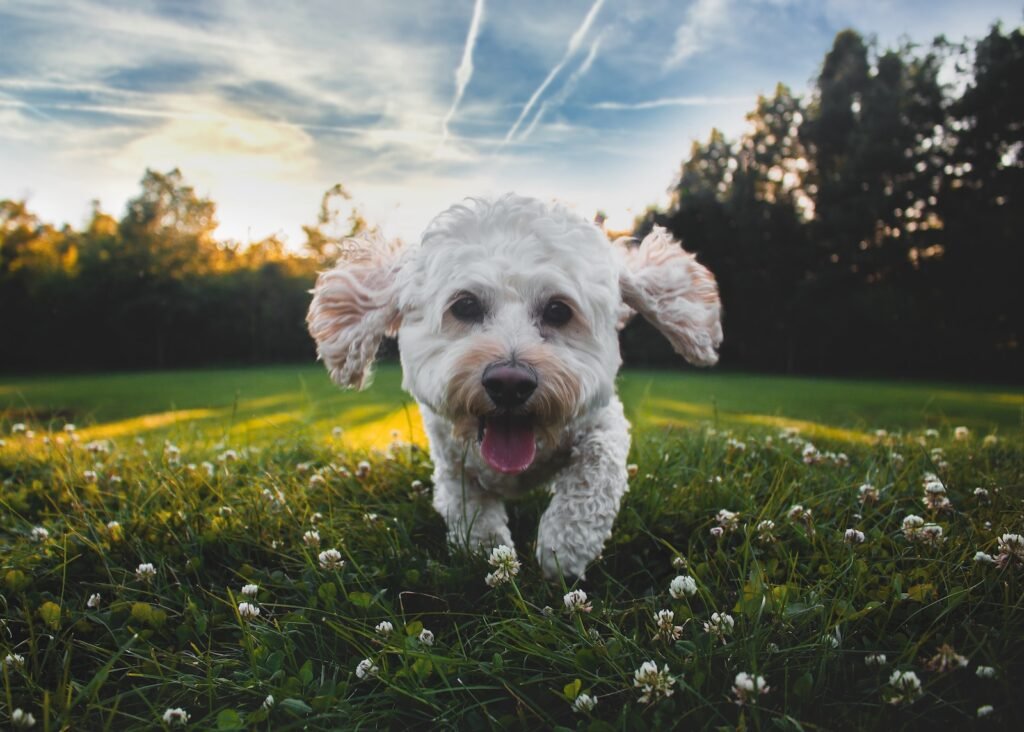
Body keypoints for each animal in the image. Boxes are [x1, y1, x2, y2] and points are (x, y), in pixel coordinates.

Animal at [305, 196, 720, 585]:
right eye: (465, 305)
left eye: (558, 310)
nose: (510, 383)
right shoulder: (451, 460)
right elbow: (470, 510)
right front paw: (490, 554)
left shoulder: (603, 421)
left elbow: (594, 473)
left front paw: (562, 547)